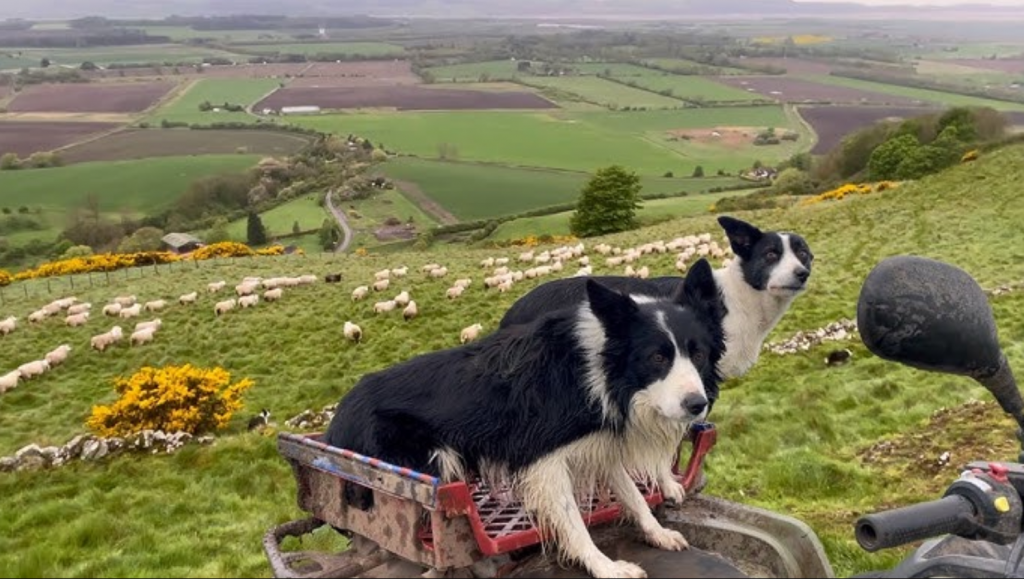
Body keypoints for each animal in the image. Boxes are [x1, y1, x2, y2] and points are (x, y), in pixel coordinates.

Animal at [329, 260, 729, 577]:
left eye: (699, 354)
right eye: (656, 358)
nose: (697, 405)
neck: (600, 371)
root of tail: (337, 419)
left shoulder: (597, 444)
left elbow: (632, 494)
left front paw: (656, 532)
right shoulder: (543, 461)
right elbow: (573, 521)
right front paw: (606, 567)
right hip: (431, 457)